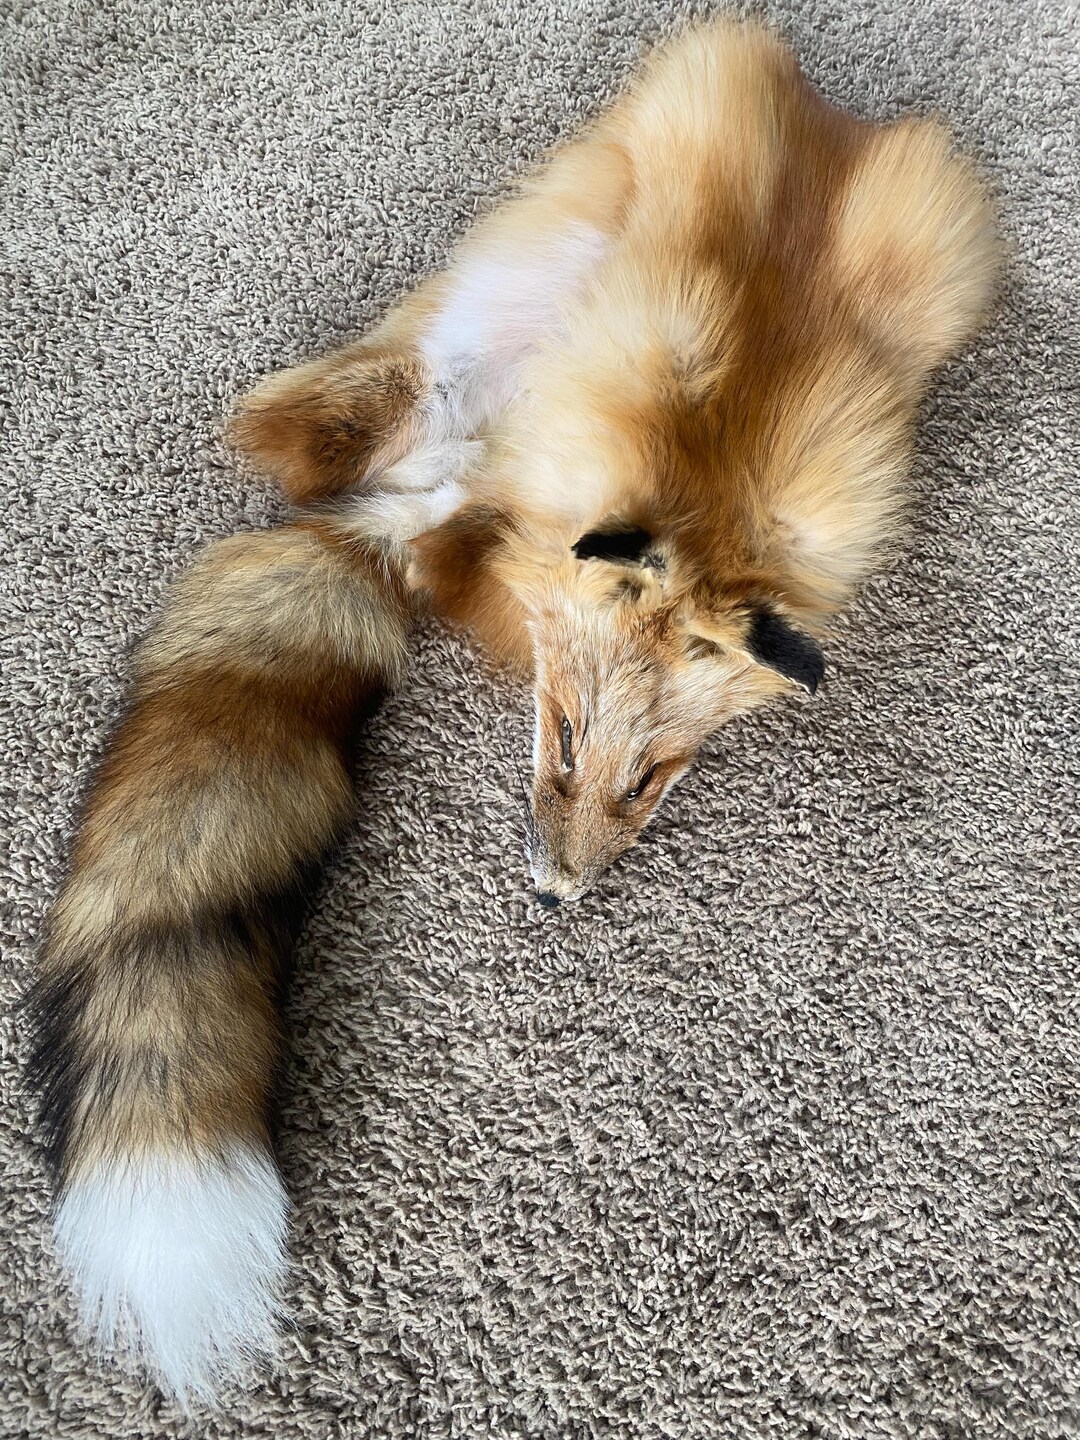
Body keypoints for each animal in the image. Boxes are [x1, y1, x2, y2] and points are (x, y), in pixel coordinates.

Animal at [28, 20, 997, 1405]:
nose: (555, 899)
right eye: (568, 738)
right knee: (297, 437)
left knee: (300, 443)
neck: (710, 472)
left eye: (652, 778)